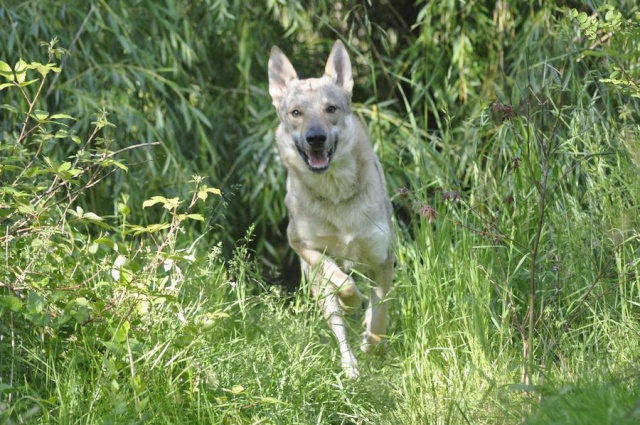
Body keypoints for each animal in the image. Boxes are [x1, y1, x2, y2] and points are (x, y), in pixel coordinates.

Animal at [266, 40, 396, 378]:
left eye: (331, 109)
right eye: (296, 113)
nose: (315, 138)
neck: (336, 195)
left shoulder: (383, 258)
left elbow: (380, 314)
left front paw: (373, 344)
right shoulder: (303, 246)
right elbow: (342, 281)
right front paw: (351, 304)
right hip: (316, 284)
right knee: (339, 326)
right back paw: (350, 367)